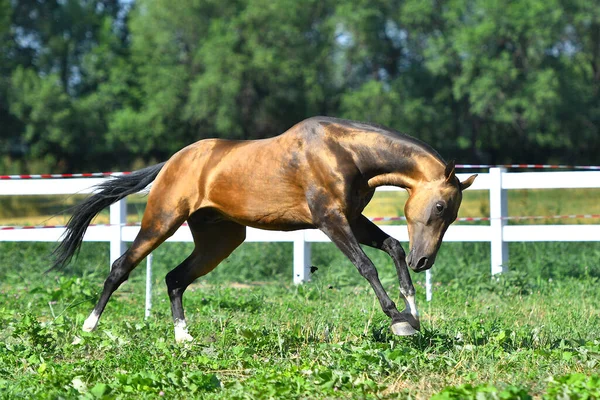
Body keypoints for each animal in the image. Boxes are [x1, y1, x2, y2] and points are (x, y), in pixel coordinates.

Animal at [54, 116, 476, 344]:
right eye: (440, 207)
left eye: (454, 215)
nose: (425, 261)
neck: (347, 153)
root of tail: (171, 162)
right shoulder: (331, 219)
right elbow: (367, 266)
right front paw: (398, 319)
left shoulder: (353, 218)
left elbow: (392, 247)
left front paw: (413, 312)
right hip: (160, 222)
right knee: (120, 267)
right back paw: (87, 328)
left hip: (220, 240)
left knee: (175, 278)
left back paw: (184, 337)